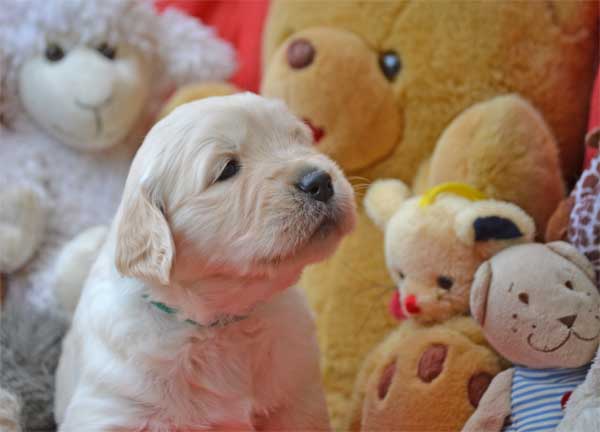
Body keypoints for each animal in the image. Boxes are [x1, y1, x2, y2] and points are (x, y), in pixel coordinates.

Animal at [54, 93, 356, 431]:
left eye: (299, 140)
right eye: (227, 169)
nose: (320, 181)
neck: (220, 323)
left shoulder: (297, 397)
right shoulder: (114, 408)